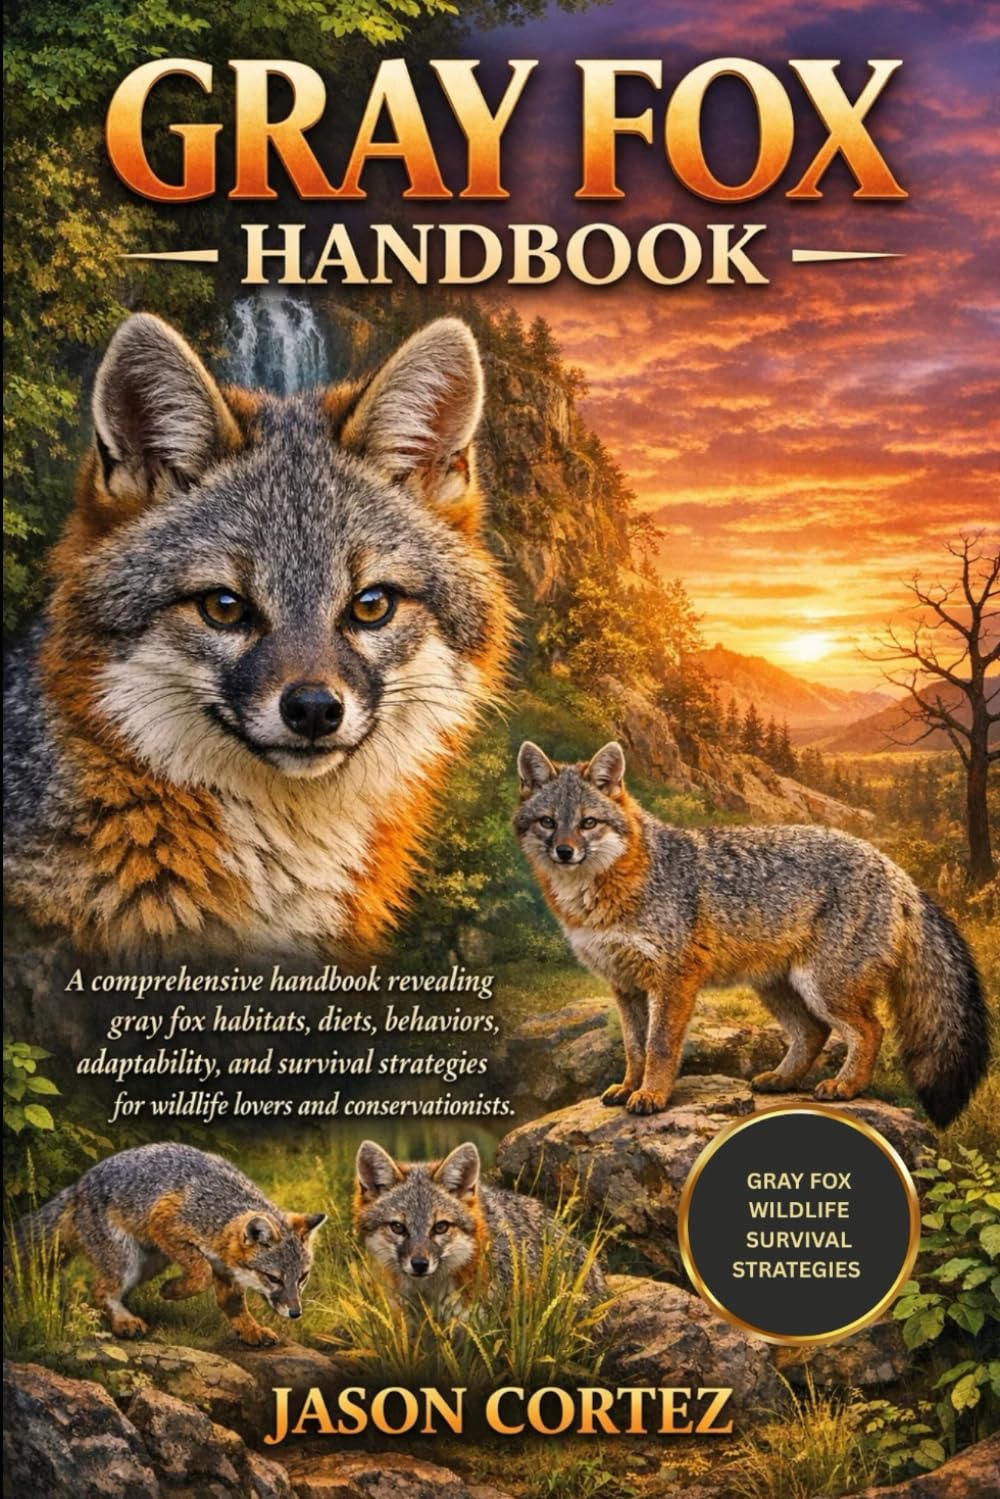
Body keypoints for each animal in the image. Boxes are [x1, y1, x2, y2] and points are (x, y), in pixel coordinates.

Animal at [11, 1143, 326, 1345]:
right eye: (273, 1278)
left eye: (303, 1278)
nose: (296, 1313)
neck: (220, 1212)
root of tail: (77, 1186)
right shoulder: (166, 1223)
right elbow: (200, 1273)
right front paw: (172, 1290)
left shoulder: (227, 1269)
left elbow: (232, 1303)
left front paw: (250, 1330)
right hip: (127, 1262)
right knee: (99, 1290)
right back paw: (124, 1322)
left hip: (147, 1266)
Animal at [514, 740, 989, 1128]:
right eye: (547, 822)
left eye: (588, 823)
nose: (564, 851)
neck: (603, 897)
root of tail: (896, 869)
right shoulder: (625, 985)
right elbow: (634, 1047)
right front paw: (629, 1087)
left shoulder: (673, 979)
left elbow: (659, 1046)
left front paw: (651, 1095)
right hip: (781, 988)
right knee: (815, 1034)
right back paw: (781, 1079)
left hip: (824, 987)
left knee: (870, 1030)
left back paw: (845, 1087)